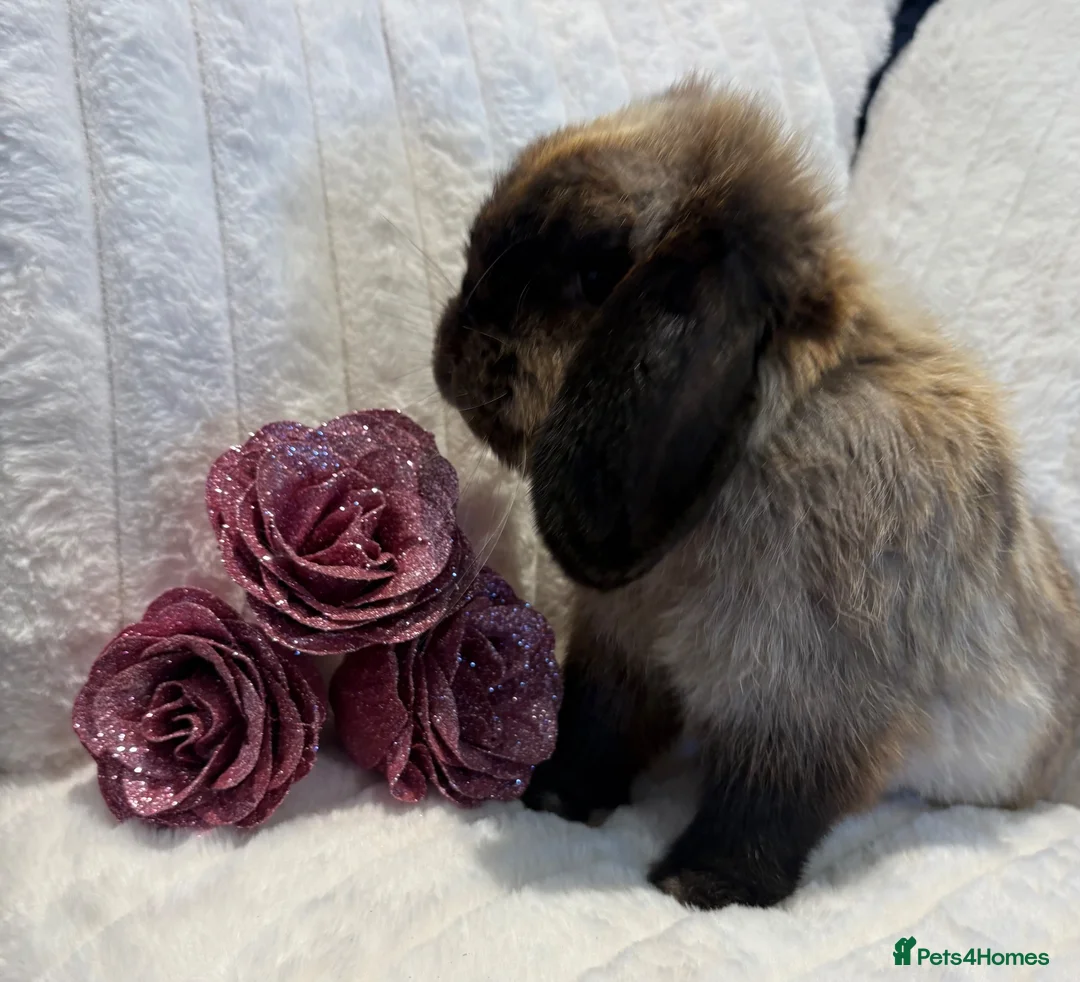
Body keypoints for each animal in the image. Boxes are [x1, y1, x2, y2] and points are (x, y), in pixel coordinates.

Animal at [431, 78, 1080, 911]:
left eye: (598, 274)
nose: (451, 345)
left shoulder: (806, 701)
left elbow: (768, 805)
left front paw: (700, 884)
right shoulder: (620, 651)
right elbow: (596, 729)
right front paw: (551, 798)